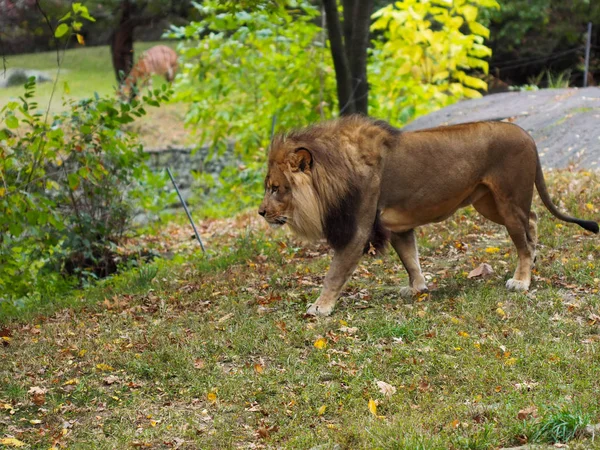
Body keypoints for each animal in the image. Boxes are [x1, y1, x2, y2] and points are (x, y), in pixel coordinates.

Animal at [258, 116, 600, 316]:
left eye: (276, 188)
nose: (261, 212)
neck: (334, 170)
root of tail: (527, 135)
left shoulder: (358, 228)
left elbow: (334, 273)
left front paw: (320, 307)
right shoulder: (396, 225)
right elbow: (410, 259)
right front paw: (417, 289)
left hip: (508, 200)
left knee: (524, 239)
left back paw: (522, 280)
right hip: (489, 204)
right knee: (533, 220)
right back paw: (534, 261)